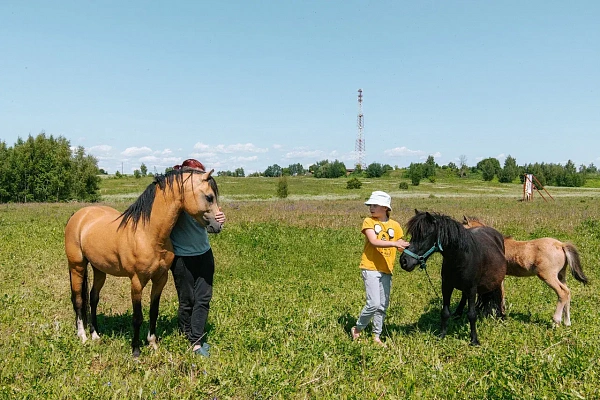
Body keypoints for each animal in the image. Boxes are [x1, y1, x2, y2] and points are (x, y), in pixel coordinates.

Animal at [64, 168, 223, 356]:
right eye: (209, 197)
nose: (218, 225)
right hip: (77, 266)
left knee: (93, 298)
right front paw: (136, 350)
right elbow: (137, 317)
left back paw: (95, 335)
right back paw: (82, 336)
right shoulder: (136, 282)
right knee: (78, 300)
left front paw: (153, 344)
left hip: (99, 269)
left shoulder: (161, 279)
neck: (147, 233)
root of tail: (79, 215)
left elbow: (153, 311)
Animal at [398, 211, 506, 346]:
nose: (404, 261)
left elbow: (472, 314)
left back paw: (502, 316)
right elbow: (445, 312)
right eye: (413, 235)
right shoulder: (446, 286)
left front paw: (474, 340)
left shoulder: (472, 289)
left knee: (499, 295)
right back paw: (458, 313)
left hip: (496, 281)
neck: (460, 257)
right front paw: (442, 335)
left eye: (425, 235)